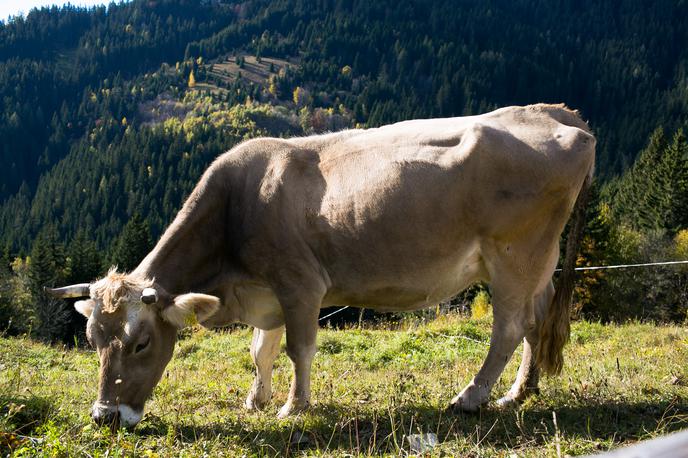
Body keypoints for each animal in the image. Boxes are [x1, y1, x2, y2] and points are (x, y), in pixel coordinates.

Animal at [49, 104, 596, 430]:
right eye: (93, 340)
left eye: (141, 343)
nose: (103, 416)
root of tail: (558, 114)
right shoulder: (268, 291)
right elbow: (261, 350)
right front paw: (256, 399)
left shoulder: (300, 284)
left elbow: (298, 349)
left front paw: (294, 407)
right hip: (539, 261)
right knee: (537, 320)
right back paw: (519, 393)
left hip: (515, 255)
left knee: (509, 328)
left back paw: (471, 397)